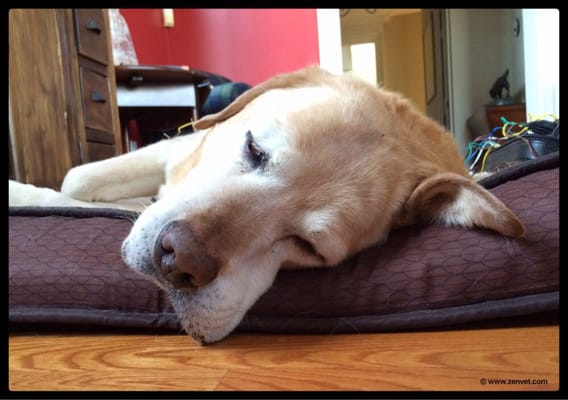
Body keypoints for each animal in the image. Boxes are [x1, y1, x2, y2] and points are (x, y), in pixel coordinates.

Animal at [8, 66, 524, 344]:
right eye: (254, 147)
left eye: (308, 246)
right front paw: (28, 194)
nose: (177, 260)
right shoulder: (176, 148)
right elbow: (76, 178)